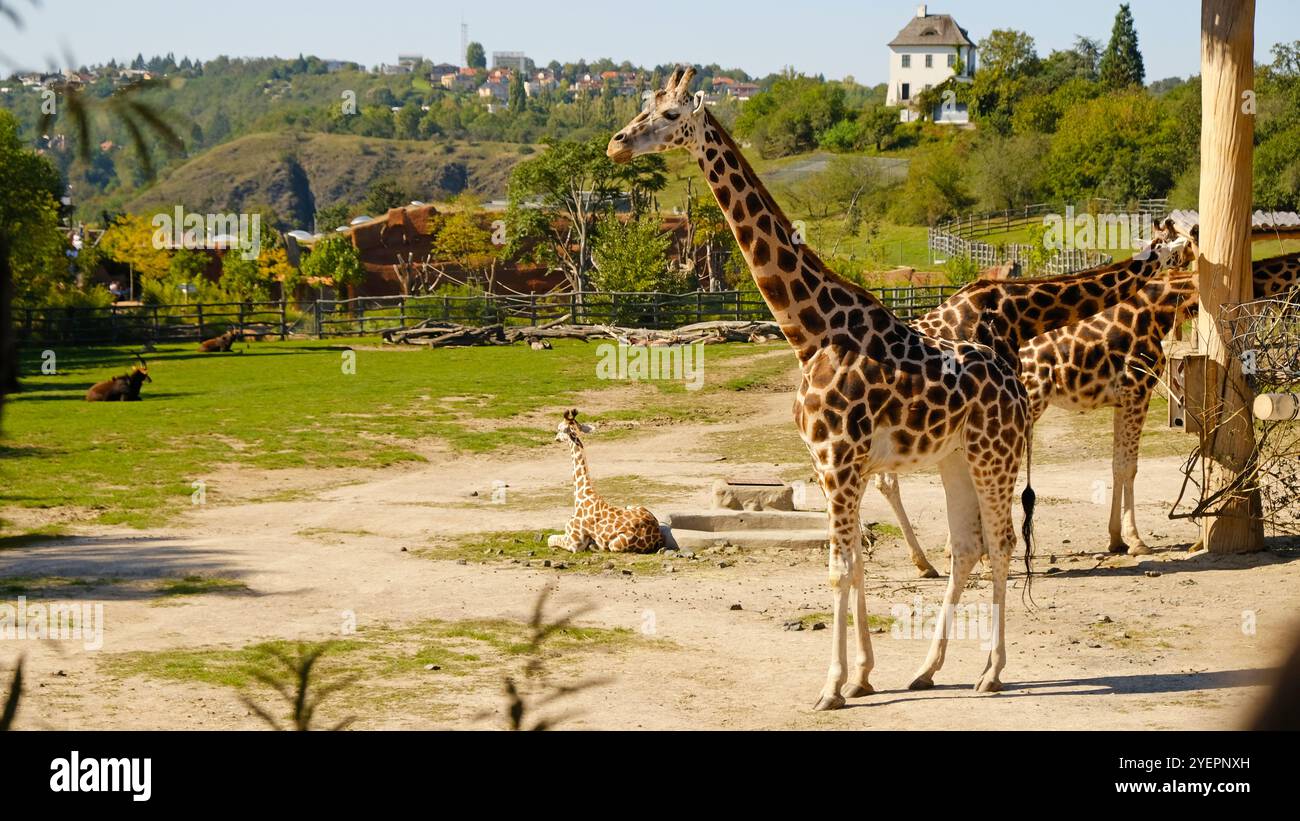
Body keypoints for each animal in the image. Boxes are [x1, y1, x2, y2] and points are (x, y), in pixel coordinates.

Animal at [550, 409, 665, 554]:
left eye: (559, 428)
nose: (556, 438)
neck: (581, 495)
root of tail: (658, 536)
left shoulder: (574, 542)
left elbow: (550, 539)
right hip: (636, 506)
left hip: (615, 545)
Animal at [610, 67, 1038, 708]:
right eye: (644, 106)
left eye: (668, 116)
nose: (616, 144)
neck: (810, 332)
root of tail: (1016, 382)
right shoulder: (829, 462)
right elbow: (856, 562)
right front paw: (863, 675)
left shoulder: (841, 457)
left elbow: (838, 568)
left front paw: (832, 687)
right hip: (954, 458)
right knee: (968, 547)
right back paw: (928, 670)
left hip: (995, 454)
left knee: (1003, 542)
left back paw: (991, 673)